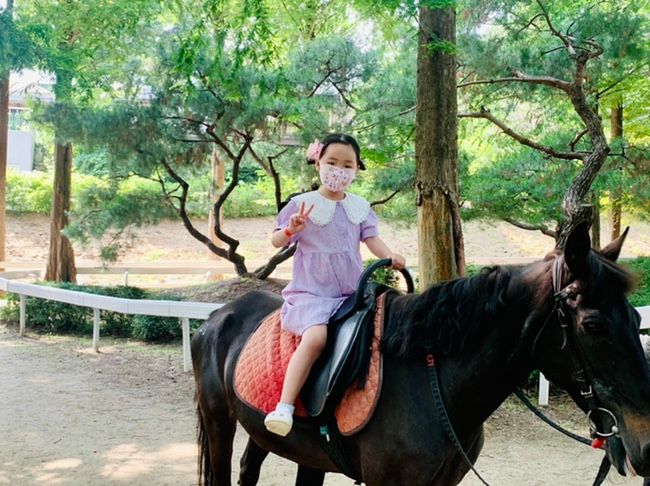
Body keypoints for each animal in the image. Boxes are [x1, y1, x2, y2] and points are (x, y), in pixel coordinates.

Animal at [191, 225, 648, 486]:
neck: (433, 385)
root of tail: (217, 316)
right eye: (594, 325)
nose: (645, 442)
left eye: (634, 317)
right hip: (219, 421)